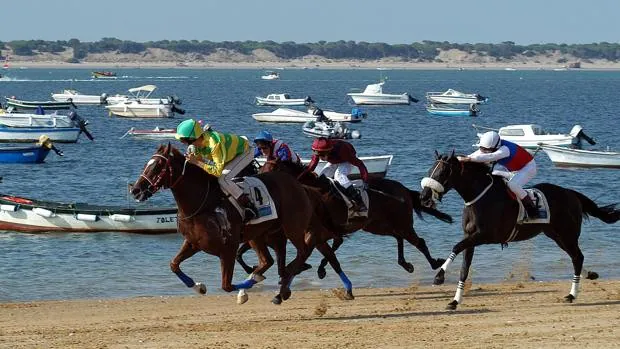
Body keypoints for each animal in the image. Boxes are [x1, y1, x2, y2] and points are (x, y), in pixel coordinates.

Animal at [129, 143, 348, 304]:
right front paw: (198, 286)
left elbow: (226, 285)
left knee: (302, 252)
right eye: (147, 164)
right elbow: (174, 265)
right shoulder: (193, 243)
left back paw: (284, 286)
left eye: (157, 166)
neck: (202, 203)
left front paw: (243, 292)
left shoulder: (228, 247)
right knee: (268, 260)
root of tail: (300, 185)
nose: (135, 189)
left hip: (292, 227)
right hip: (261, 234)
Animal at [237, 158, 456, 280]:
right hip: (378, 225)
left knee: (419, 242)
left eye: (268, 170)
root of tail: (403, 189)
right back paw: (405, 263)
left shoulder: (321, 230)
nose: (261, 187)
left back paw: (434, 264)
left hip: (401, 223)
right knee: (399, 238)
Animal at [416, 151, 620, 308]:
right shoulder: (471, 237)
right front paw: (455, 301)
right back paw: (589, 275)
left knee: (577, 257)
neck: (480, 197)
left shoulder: (484, 236)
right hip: (556, 236)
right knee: (576, 257)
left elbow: (456, 247)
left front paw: (439, 276)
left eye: (442, 172)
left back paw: (572, 295)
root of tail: (571, 193)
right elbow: (464, 269)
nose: (423, 197)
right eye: (430, 170)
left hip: (567, 234)